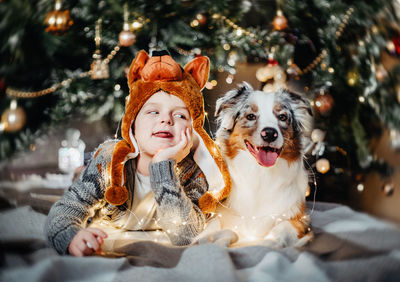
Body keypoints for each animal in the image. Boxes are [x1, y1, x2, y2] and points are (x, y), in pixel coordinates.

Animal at [214, 81, 314, 247]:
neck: (260, 174)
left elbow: (281, 229)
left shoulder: (302, 220)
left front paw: (267, 242)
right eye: (250, 116)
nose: (269, 133)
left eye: (282, 117)